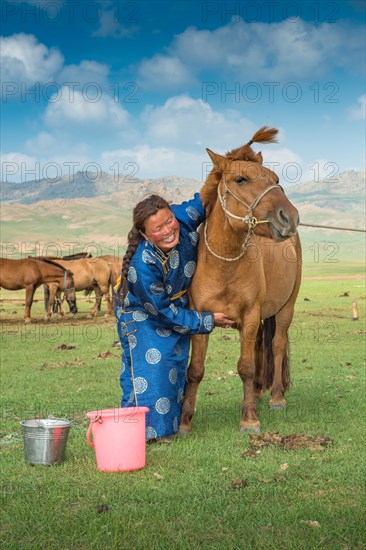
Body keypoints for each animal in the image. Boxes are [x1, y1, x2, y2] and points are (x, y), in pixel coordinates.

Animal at [179, 128, 302, 436]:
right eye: (241, 179)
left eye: (276, 180)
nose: (290, 217)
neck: (225, 263)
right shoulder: (200, 316)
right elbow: (195, 370)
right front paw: (184, 422)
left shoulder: (249, 316)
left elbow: (245, 366)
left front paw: (249, 419)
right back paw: (257, 392)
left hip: (286, 308)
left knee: (277, 345)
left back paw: (275, 398)